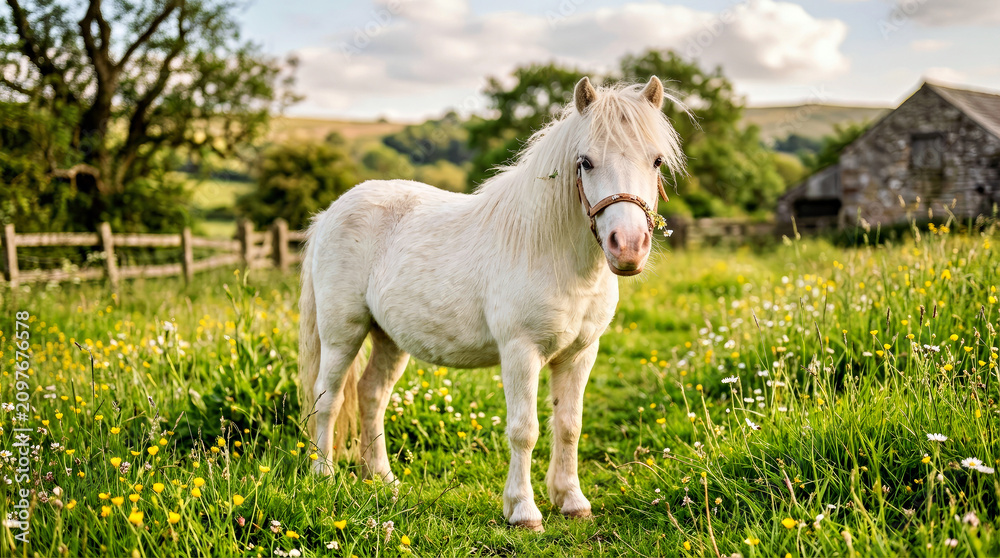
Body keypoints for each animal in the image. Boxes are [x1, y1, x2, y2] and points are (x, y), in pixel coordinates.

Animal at [299, 76, 685, 531]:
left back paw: (382, 479)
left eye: (656, 161)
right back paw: (323, 477)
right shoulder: (520, 352)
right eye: (586, 162)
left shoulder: (580, 354)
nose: (627, 247)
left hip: (389, 338)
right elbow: (525, 429)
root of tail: (330, 213)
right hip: (343, 332)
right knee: (329, 397)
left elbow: (569, 425)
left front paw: (572, 501)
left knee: (371, 395)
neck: (549, 251)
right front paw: (523, 510)